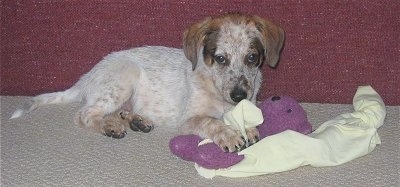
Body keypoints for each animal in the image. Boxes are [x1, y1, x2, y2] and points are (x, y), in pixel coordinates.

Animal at [10, 13, 284, 153]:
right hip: (123, 79)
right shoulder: (189, 118)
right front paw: (229, 134)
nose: (239, 96)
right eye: (220, 58)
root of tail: (86, 77)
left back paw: (136, 121)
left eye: (252, 58)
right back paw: (110, 126)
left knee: (115, 111)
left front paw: (247, 126)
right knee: (84, 114)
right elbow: (212, 121)